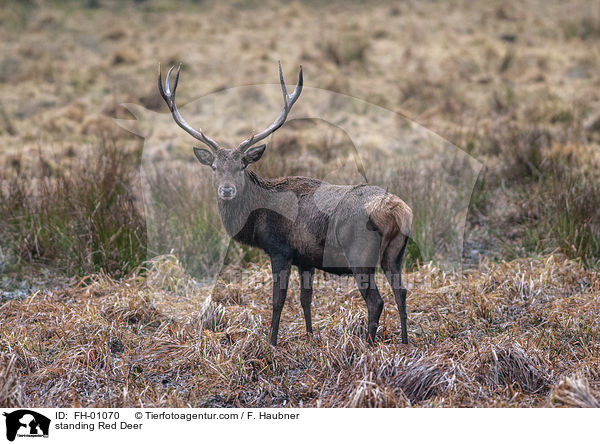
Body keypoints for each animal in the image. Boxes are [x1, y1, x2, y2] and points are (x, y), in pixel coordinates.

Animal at [158, 64, 412, 346]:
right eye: (214, 167)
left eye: (241, 166)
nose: (226, 190)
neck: (258, 216)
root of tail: (397, 210)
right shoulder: (306, 258)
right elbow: (305, 299)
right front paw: (310, 336)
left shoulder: (280, 249)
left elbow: (278, 300)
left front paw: (271, 341)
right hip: (396, 253)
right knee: (401, 292)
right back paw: (404, 340)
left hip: (360, 254)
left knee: (376, 301)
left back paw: (368, 343)